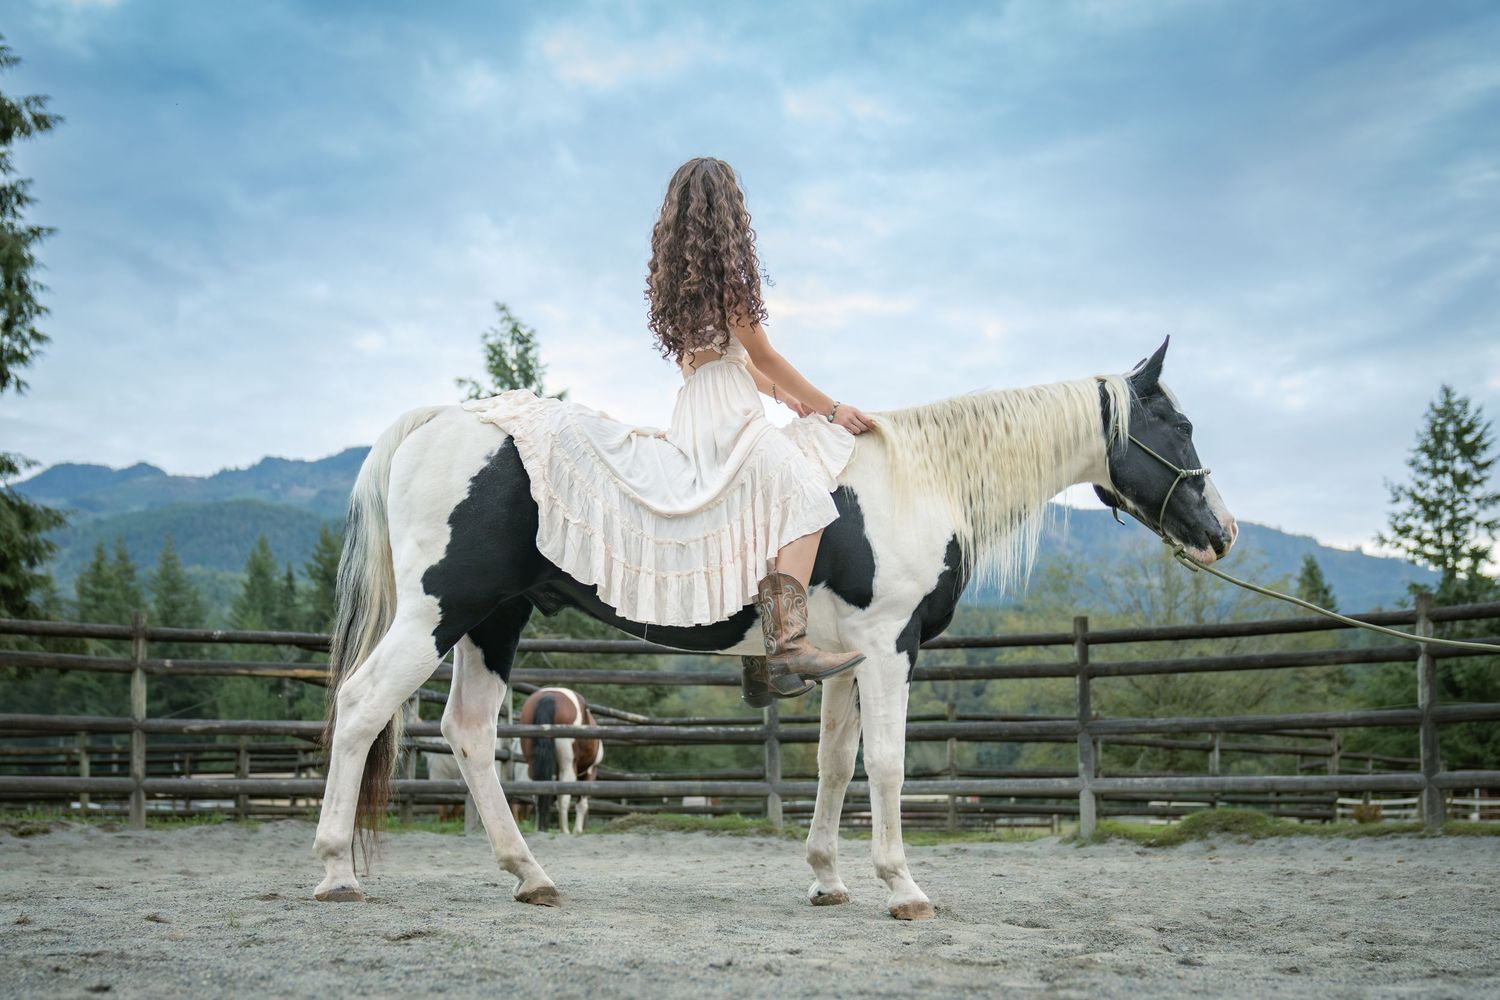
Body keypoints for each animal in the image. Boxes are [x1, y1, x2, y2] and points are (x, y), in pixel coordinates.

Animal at [519, 687, 602, 834]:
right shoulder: (591, 771)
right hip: (568, 766)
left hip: (532, 765)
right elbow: (581, 803)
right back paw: (565, 831)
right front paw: (577, 830)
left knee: (538, 794)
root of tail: (549, 696)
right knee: (564, 797)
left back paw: (540, 828)